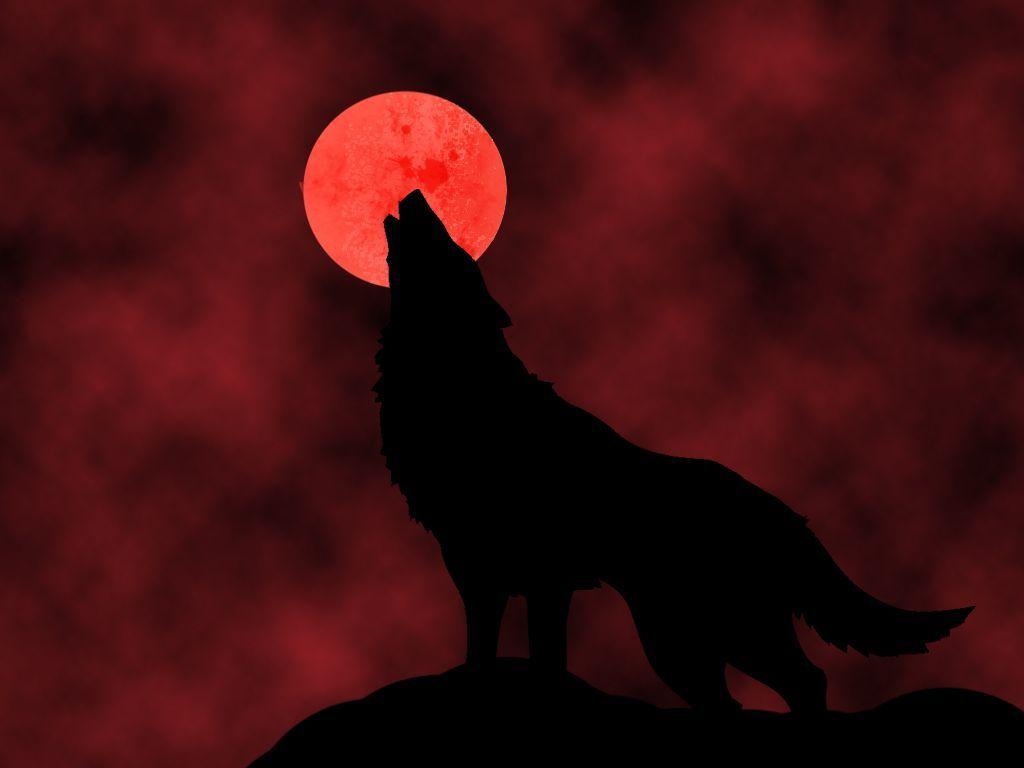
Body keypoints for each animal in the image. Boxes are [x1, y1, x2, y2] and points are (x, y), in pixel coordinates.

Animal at [373, 189, 972, 713]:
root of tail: (787, 515)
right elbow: (488, 656)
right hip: (687, 643)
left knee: (806, 681)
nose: (418, 194)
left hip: (707, 636)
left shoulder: (541, 578)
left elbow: (543, 661)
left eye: (451, 246)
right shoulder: (478, 572)